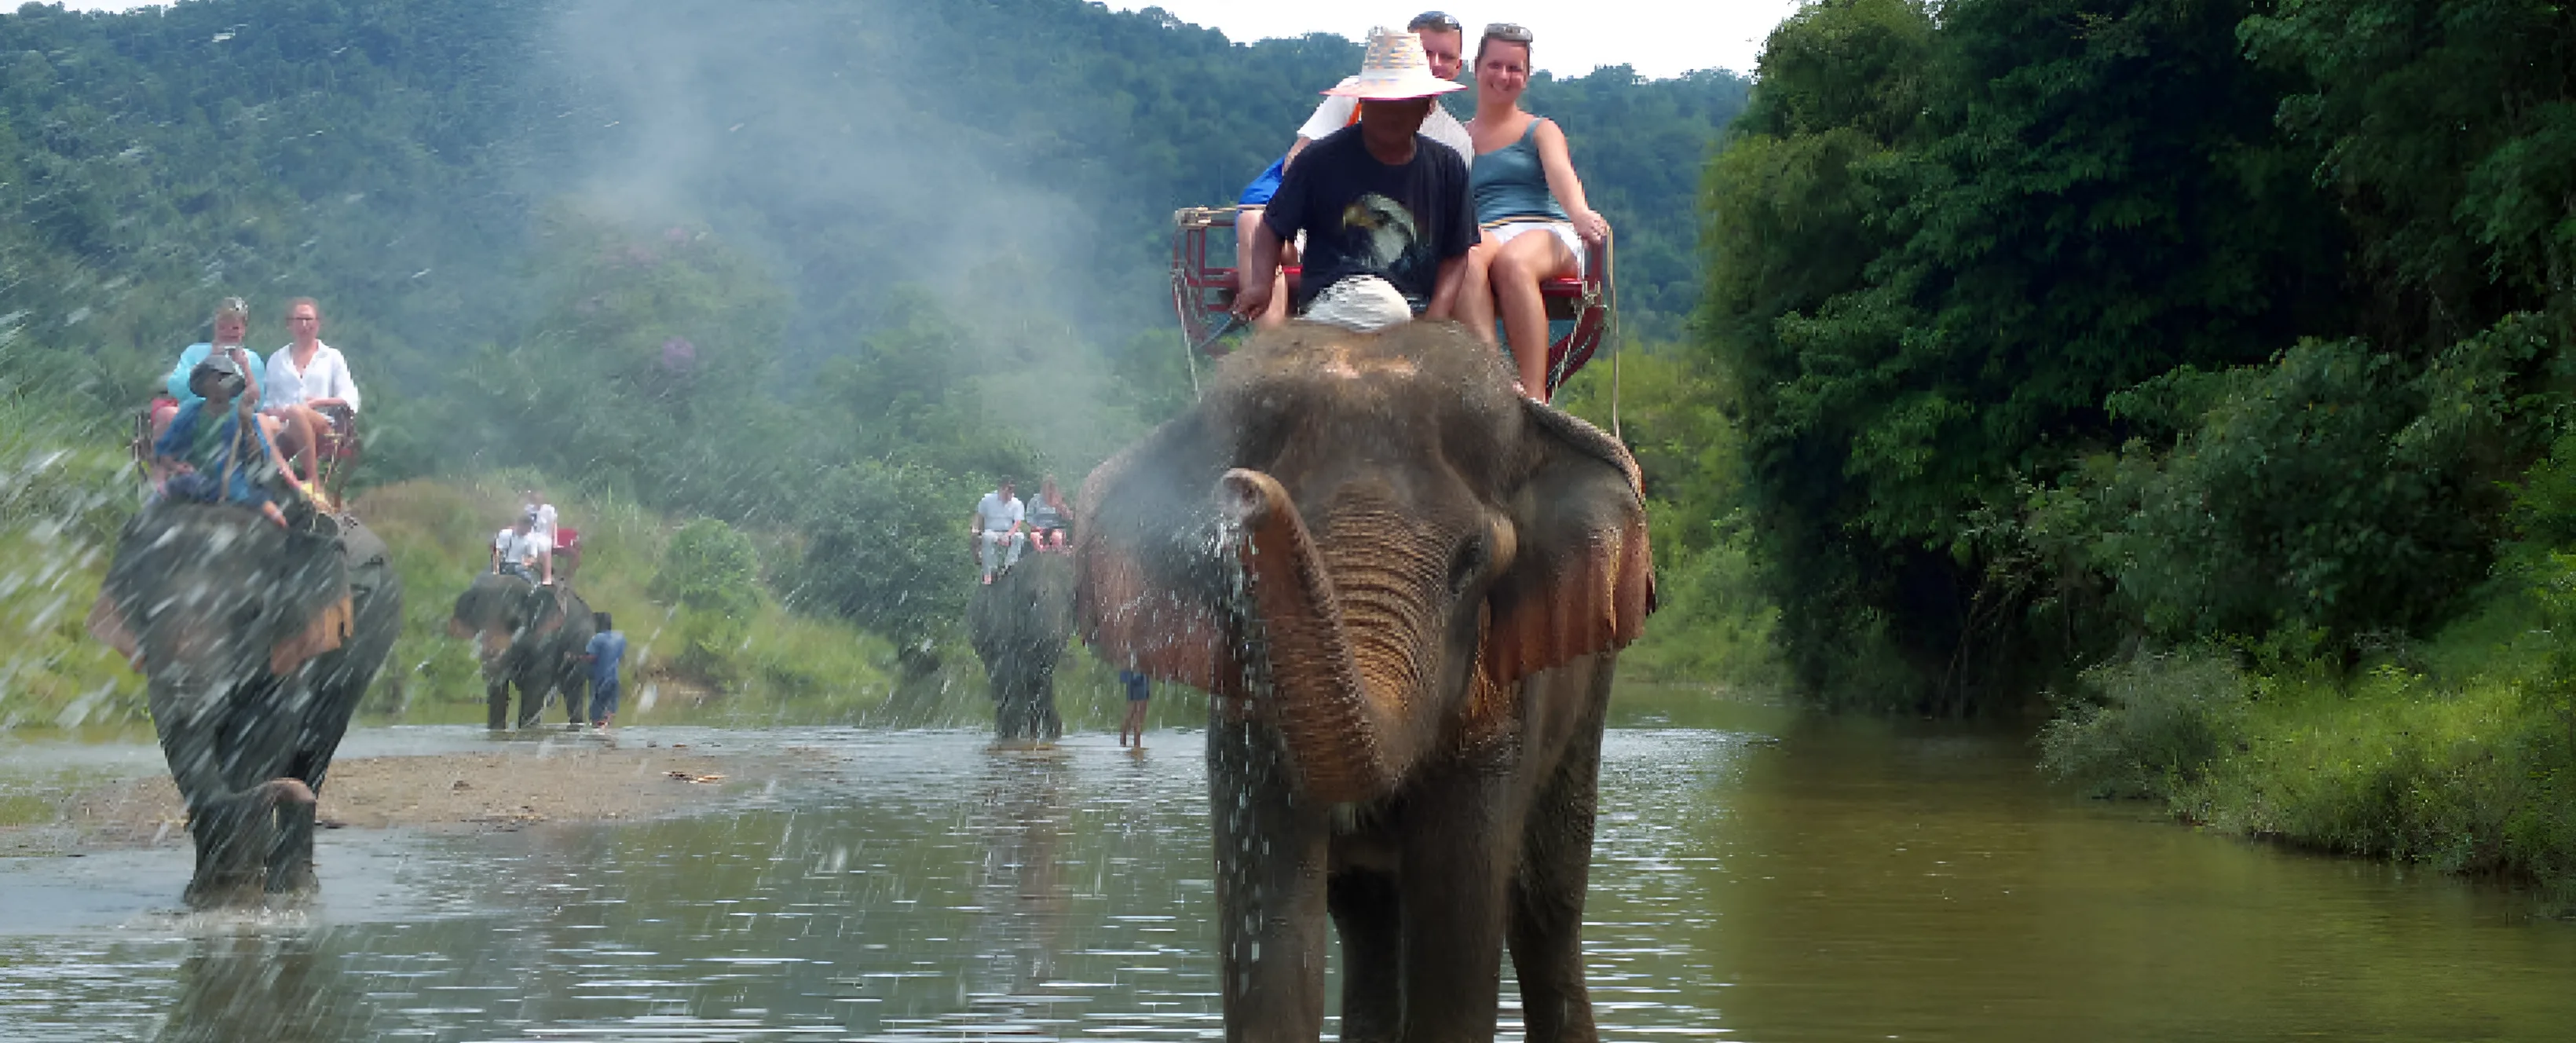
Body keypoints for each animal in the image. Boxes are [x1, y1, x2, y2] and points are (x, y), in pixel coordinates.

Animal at [85, 501, 404, 908]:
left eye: (251, 613)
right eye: (144, 611)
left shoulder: (299, 632)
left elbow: (266, 730)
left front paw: (237, 895)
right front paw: (208, 896)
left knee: (317, 747)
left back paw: (296, 887)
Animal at [447, 573, 596, 730]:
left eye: (515, 623)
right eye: (478, 622)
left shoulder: (548, 642)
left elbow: (534, 692)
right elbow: (498, 697)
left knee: (573, 693)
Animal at [1075, 321, 1653, 1042]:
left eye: (1471, 561)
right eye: (1231, 562)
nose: (1243, 489)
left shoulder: (1504, 706)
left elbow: (1459, 924)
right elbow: (1273, 931)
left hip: (1591, 683)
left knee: (1545, 903)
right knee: (1369, 916)